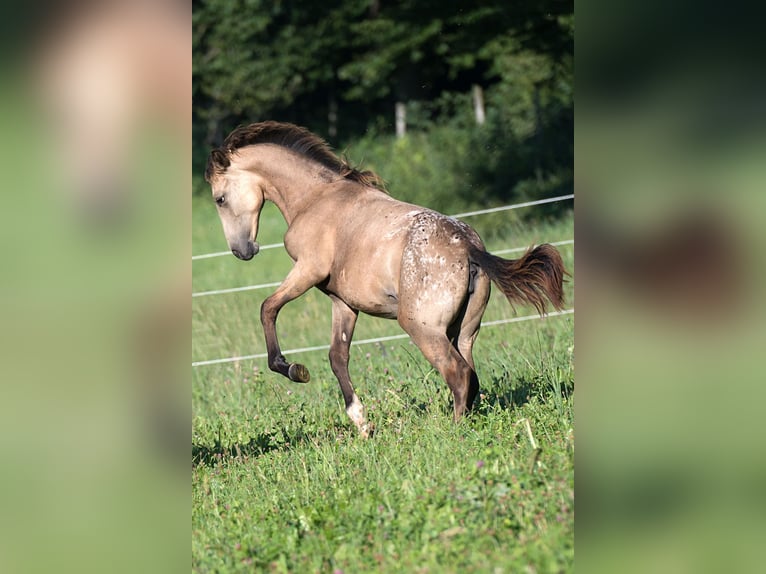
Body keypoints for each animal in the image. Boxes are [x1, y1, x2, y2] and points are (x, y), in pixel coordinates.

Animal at [205, 121, 565, 437]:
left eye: (220, 199)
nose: (242, 251)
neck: (316, 198)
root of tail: (468, 246)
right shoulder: (342, 301)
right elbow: (337, 356)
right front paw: (361, 423)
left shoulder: (307, 270)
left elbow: (267, 308)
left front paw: (293, 369)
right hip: (463, 332)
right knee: (471, 376)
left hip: (422, 328)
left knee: (459, 374)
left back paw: (454, 432)